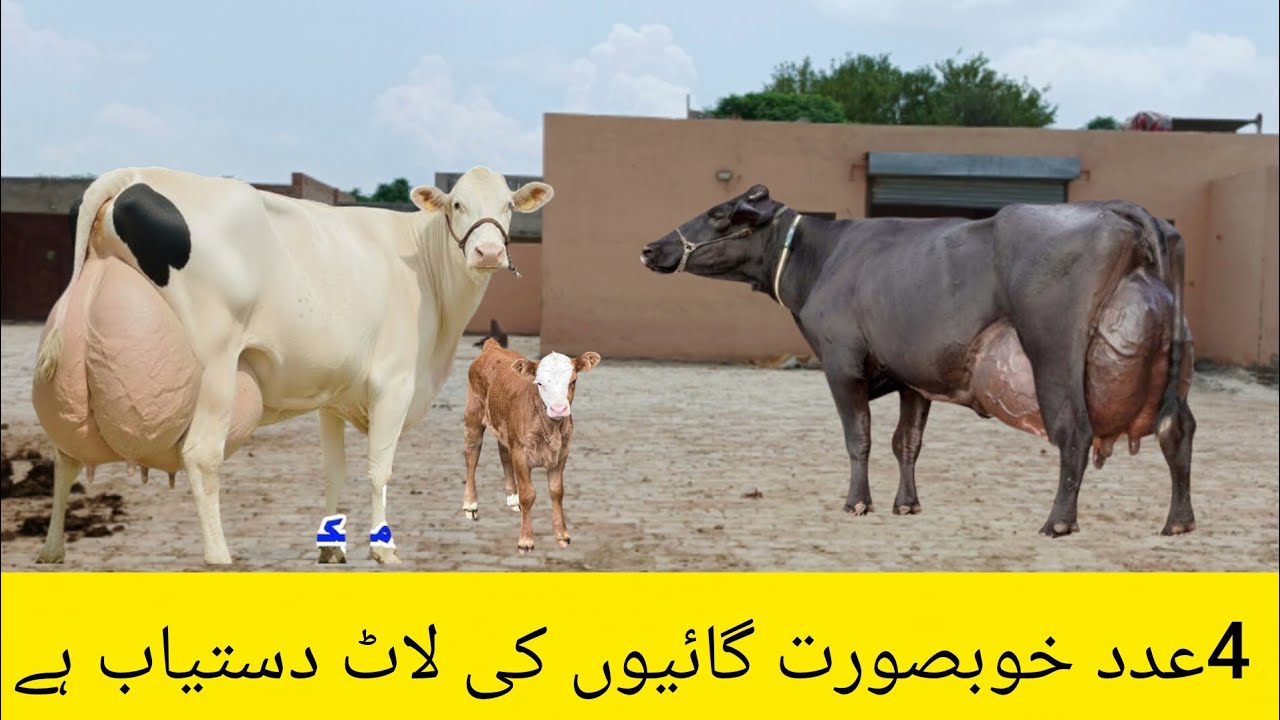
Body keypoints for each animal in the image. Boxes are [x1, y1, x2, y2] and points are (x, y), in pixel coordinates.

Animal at [31, 165, 553, 565]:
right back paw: (218, 554)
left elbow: (334, 470)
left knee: (65, 454)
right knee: (201, 454)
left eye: (507, 205)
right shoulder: (393, 383)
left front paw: (331, 548)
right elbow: (379, 470)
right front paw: (384, 550)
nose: (489, 252)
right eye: (456, 205)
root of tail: (136, 174)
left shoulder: (334, 396)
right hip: (217, 363)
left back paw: (53, 550)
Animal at [461, 339, 600, 552]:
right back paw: (471, 504)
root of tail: (493, 347)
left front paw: (562, 535)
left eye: (573, 381)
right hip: (473, 416)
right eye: (539, 383)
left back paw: (512, 497)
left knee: (503, 453)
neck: (550, 429)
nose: (558, 408)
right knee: (472, 455)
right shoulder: (521, 454)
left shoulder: (561, 453)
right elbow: (528, 494)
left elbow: (557, 491)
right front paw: (525, 541)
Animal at [641, 185, 1195, 538]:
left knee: (1074, 432)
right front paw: (905, 503)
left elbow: (859, 437)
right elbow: (906, 442)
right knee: (1178, 429)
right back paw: (1179, 521)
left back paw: (1057, 521)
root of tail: (1120, 212)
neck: (824, 258)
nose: (650, 247)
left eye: (719, 213)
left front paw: (857, 502)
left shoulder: (841, 363)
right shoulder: (913, 376)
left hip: (1053, 353)